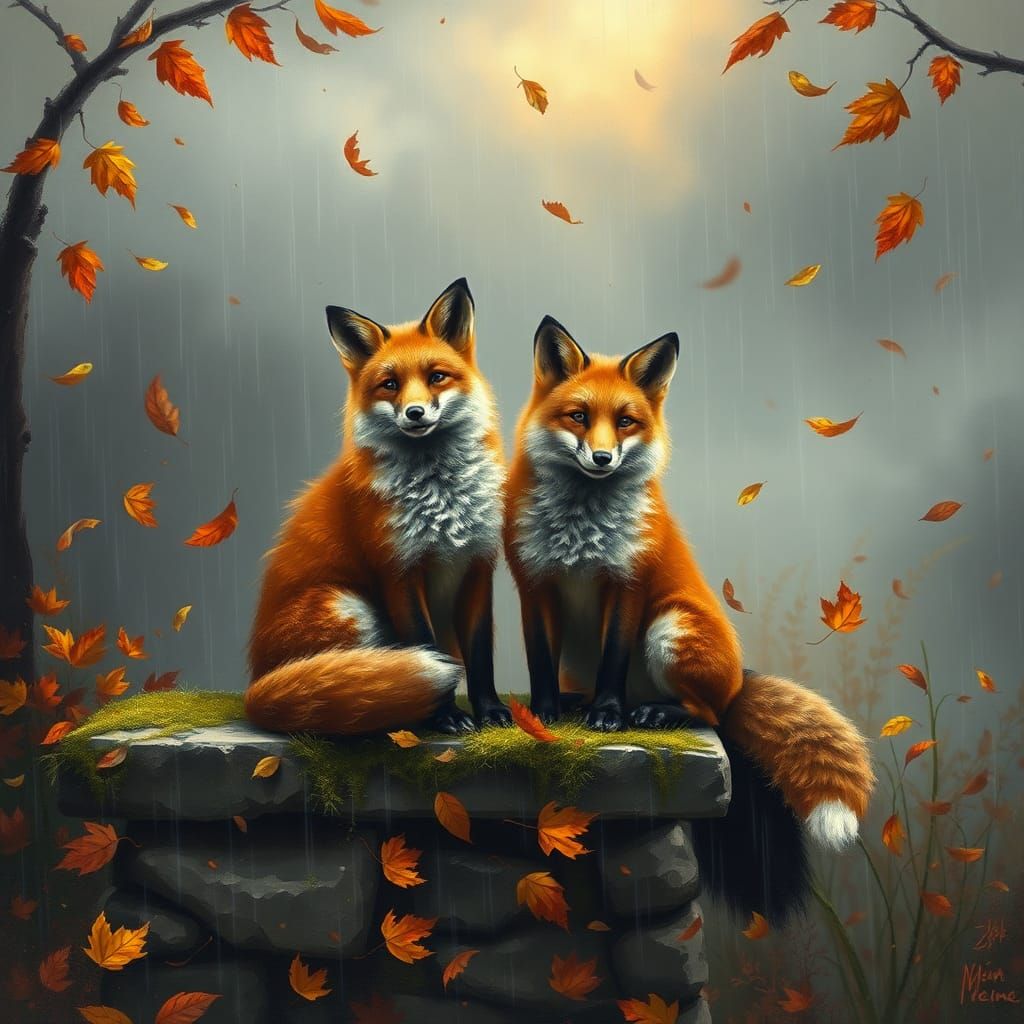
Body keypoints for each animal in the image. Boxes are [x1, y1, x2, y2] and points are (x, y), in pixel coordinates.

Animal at [245, 279, 512, 736]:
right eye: (390, 384)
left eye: (436, 377)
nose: (415, 413)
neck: (442, 498)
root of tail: (256, 686)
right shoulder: (398, 571)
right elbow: (425, 643)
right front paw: (446, 716)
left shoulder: (478, 566)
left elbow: (480, 658)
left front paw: (489, 711)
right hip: (350, 608)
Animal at [504, 315, 876, 922]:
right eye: (578, 416)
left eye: (625, 421)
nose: (603, 459)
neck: (583, 526)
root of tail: (739, 678)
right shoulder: (533, 585)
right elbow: (539, 662)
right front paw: (543, 713)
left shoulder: (629, 584)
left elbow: (614, 661)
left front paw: (608, 717)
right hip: (593, 653)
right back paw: (587, 704)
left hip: (670, 630)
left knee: (708, 711)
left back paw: (656, 712)